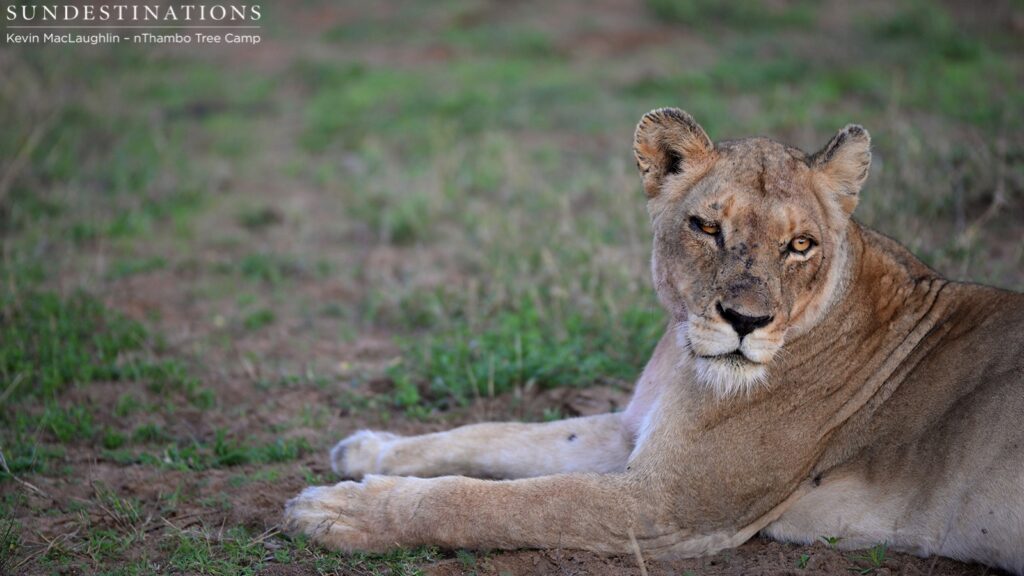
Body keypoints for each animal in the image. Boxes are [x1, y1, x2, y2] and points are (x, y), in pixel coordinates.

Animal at [285, 108, 1024, 574]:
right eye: (707, 227)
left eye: (800, 245)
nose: (746, 321)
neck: (684, 358)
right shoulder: (631, 434)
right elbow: (494, 434)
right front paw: (368, 449)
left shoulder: (669, 507)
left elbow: (498, 501)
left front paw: (340, 508)